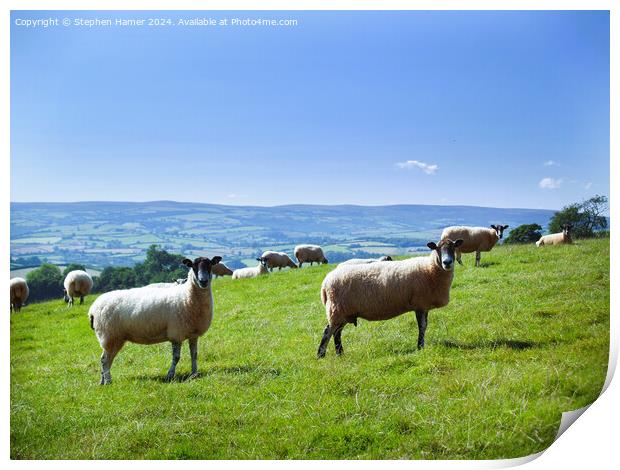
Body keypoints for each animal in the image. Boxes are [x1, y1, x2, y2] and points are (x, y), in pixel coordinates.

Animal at [318, 239, 462, 356]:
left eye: (453, 247)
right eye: (437, 248)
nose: (447, 262)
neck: (430, 269)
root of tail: (325, 283)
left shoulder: (423, 306)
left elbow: (424, 326)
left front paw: (421, 346)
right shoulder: (420, 305)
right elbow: (422, 326)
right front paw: (420, 347)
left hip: (344, 312)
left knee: (336, 332)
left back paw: (340, 354)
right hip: (336, 309)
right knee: (328, 331)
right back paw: (321, 355)